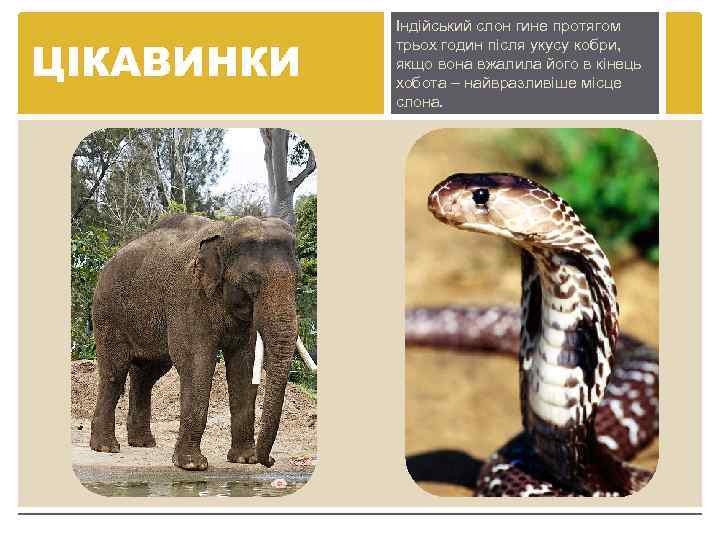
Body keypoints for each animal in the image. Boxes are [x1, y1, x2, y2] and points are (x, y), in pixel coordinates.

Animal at [89, 214, 299, 470]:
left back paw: (143, 443)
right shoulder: (189, 297)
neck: (226, 232)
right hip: (107, 312)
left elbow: (243, 367)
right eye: (251, 279)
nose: (270, 460)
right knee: (114, 371)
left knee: (147, 374)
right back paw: (106, 447)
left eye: (297, 280)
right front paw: (192, 465)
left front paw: (244, 460)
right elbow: (197, 363)